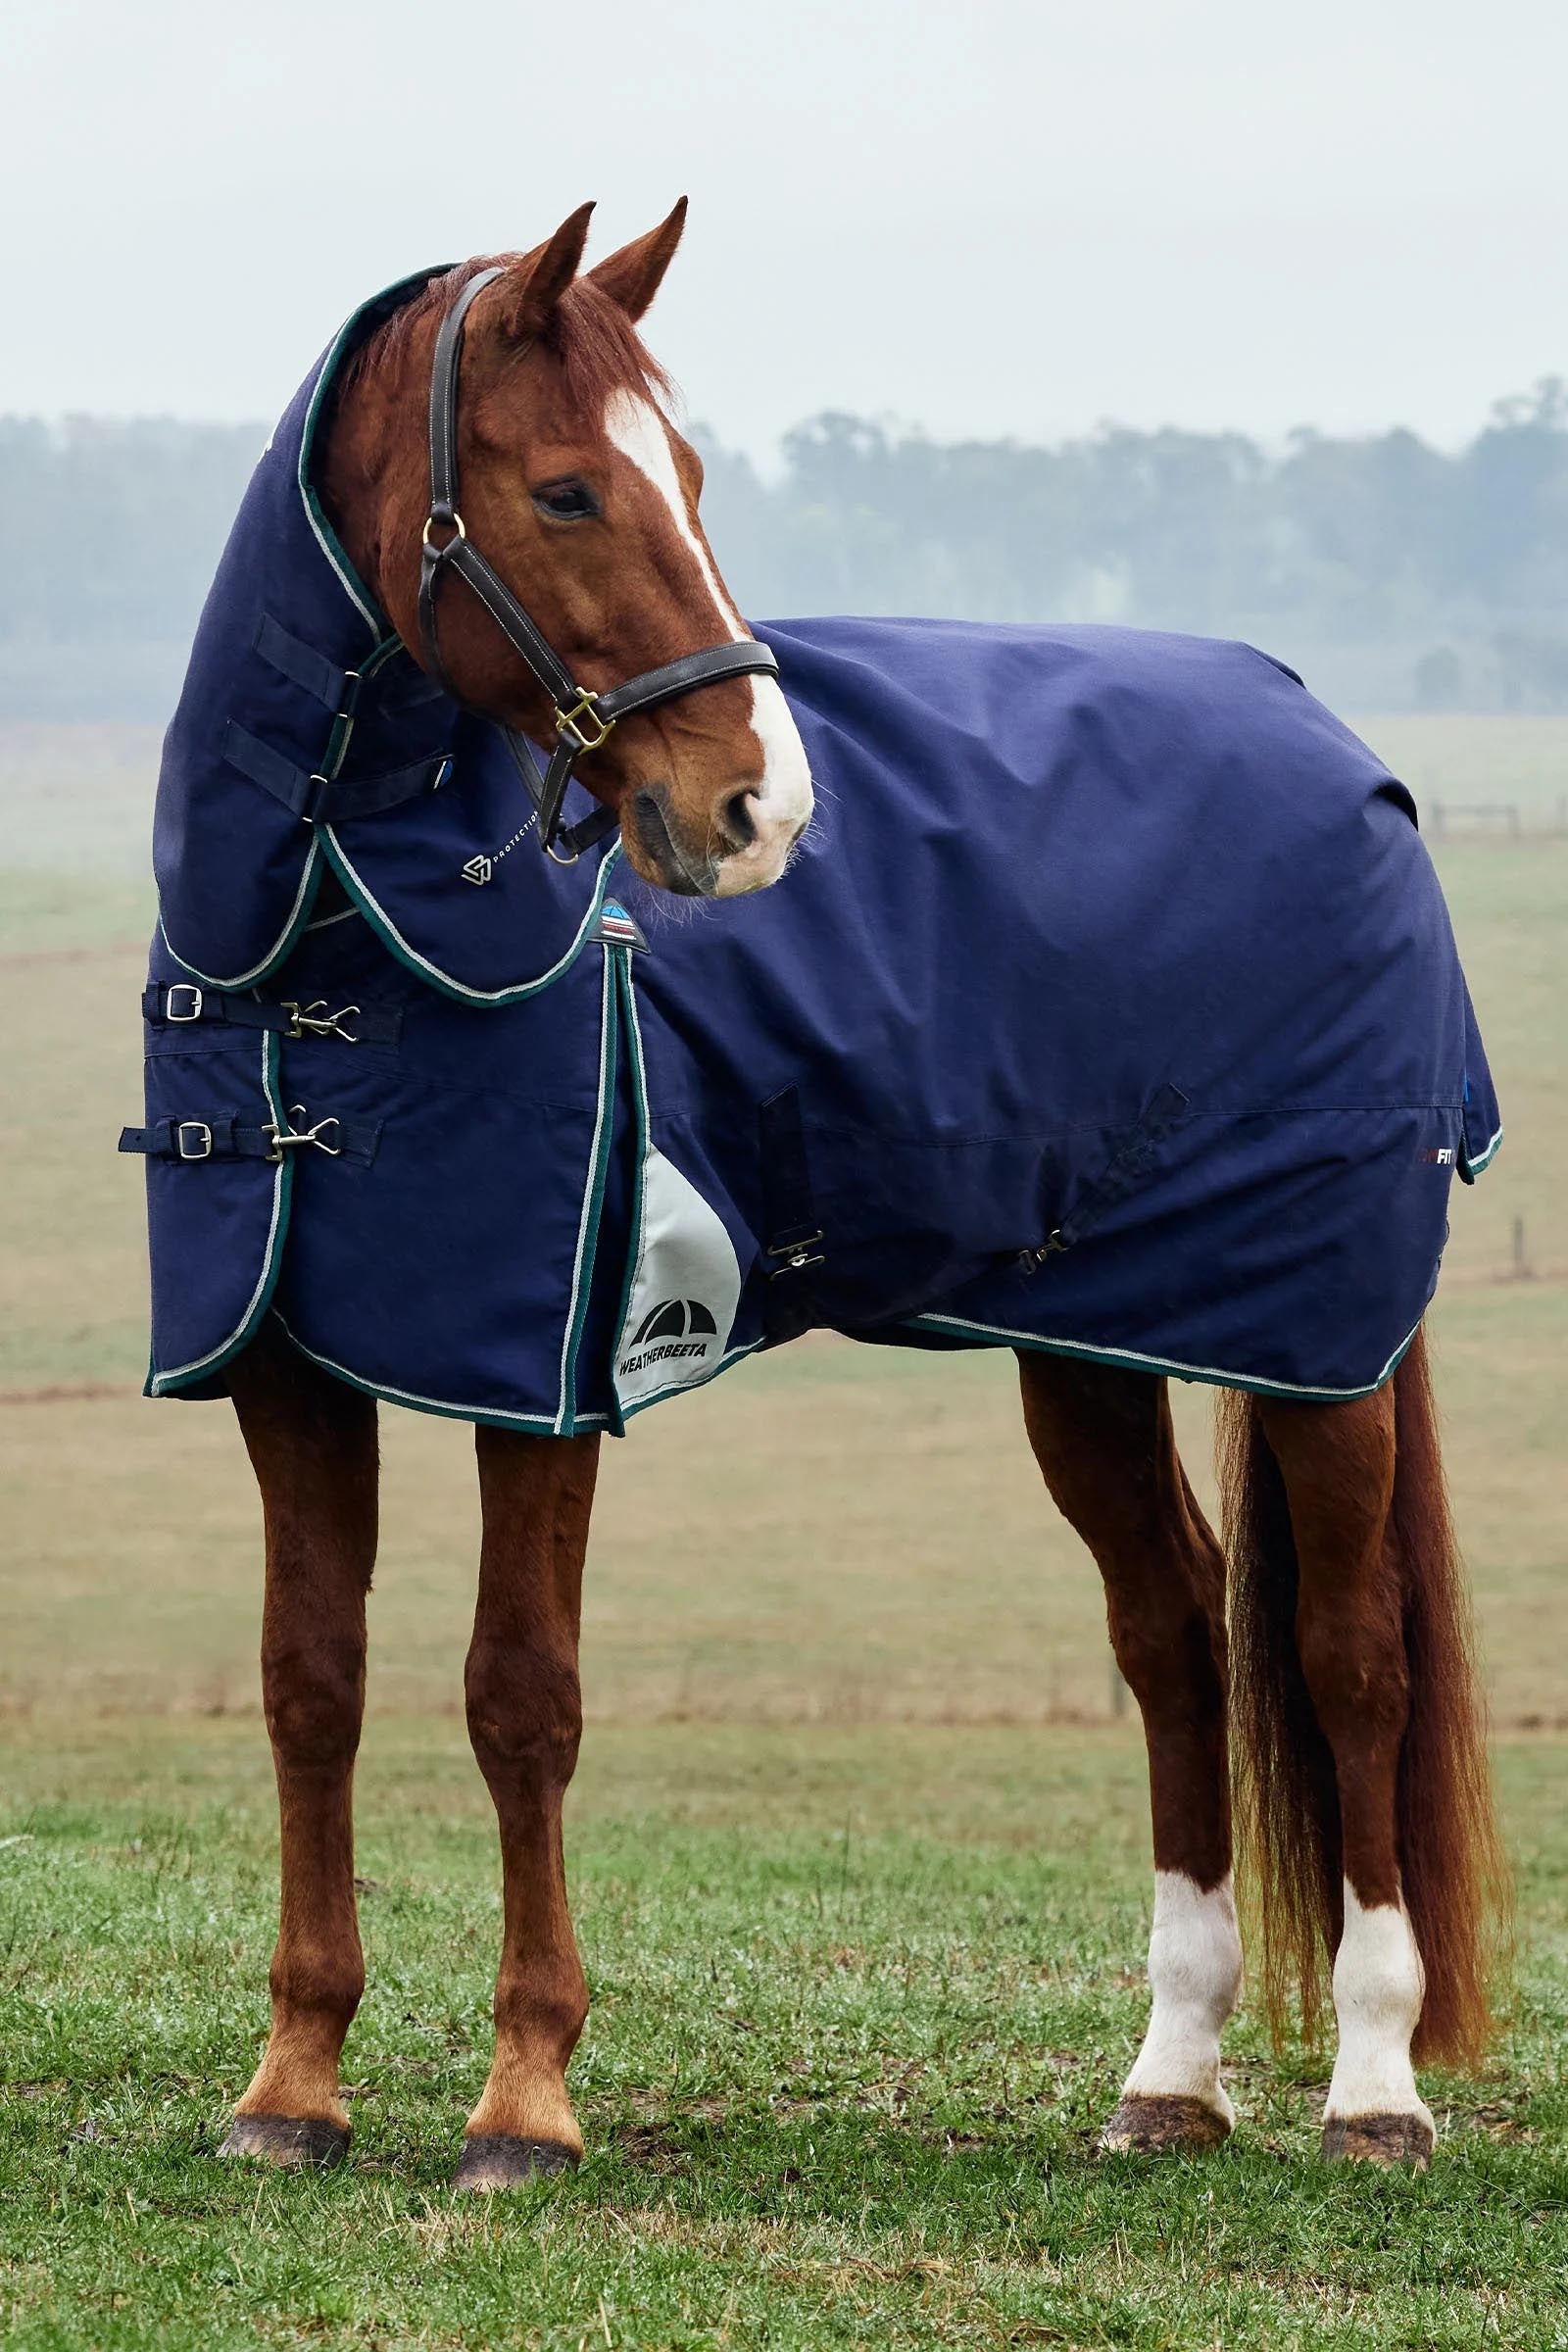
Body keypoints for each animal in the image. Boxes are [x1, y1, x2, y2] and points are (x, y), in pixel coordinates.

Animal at [125, 202, 1506, 2189]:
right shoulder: (292, 1368)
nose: (757, 809)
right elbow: (311, 1682)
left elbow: (518, 1696)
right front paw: (292, 2084)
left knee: (1348, 1653)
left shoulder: (547, 1376)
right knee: (1174, 1636)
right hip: (1088, 1340)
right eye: (564, 489)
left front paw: (525, 2100)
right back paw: (1169, 2077)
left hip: (1320, 1339)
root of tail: (1349, 756)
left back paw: (1376, 2088)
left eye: (689, 477)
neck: (332, 944)